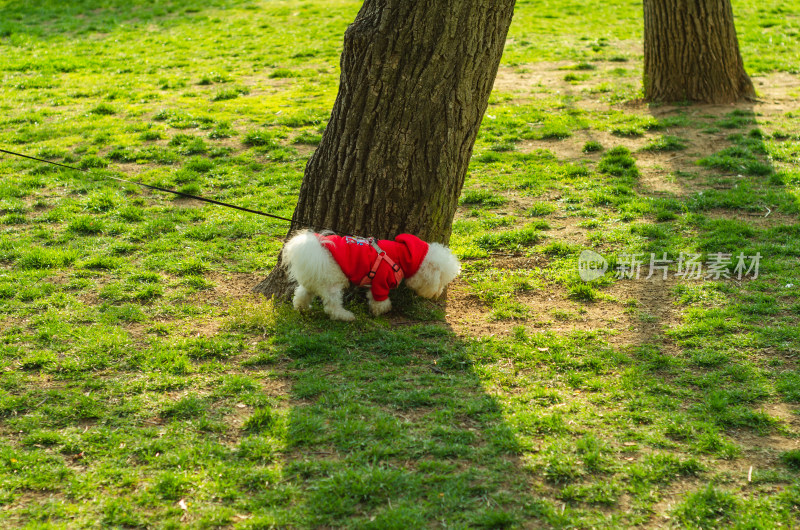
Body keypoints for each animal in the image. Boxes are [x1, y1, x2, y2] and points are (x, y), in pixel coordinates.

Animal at [282, 229, 460, 320]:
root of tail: (315, 247)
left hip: (314, 281)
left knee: (302, 294)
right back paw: (345, 316)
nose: (438, 293)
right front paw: (381, 310)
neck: (402, 256)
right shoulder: (381, 282)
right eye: (441, 281)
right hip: (331, 283)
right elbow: (379, 300)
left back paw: (301, 308)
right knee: (332, 306)